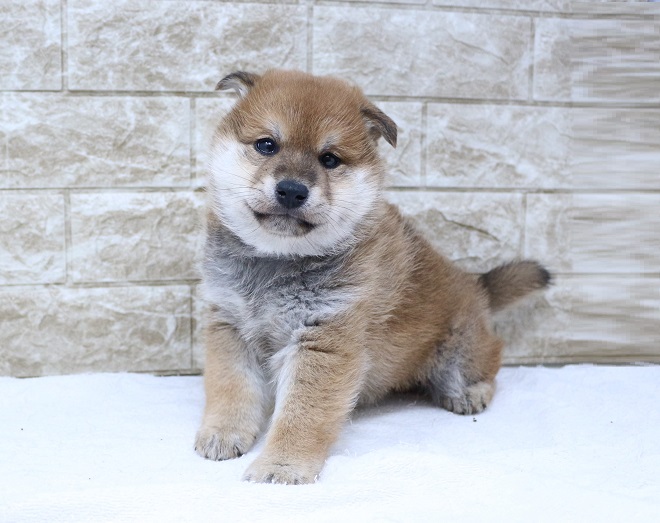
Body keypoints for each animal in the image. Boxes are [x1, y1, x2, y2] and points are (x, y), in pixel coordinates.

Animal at [193, 69, 548, 488]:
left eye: (329, 159)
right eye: (267, 145)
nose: (292, 190)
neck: (276, 260)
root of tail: (476, 285)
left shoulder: (323, 340)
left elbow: (301, 415)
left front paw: (282, 465)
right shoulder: (230, 325)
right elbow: (231, 389)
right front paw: (223, 433)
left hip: (459, 350)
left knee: (488, 359)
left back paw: (470, 392)